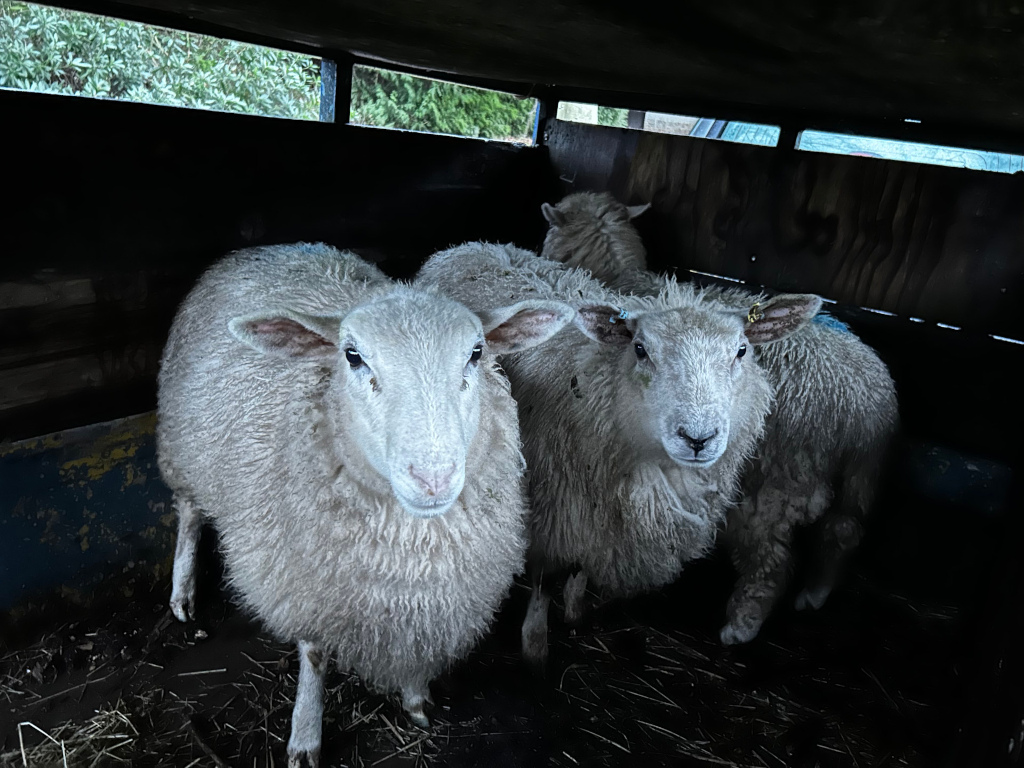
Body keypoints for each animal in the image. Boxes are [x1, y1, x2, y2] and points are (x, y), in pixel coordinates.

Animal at [156, 242, 575, 766]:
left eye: (477, 353)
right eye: (353, 356)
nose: (433, 478)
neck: (409, 551)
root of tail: (269, 247)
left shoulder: (429, 601)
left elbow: (418, 651)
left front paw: (415, 699)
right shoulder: (309, 585)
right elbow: (315, 656)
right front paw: (305, 736)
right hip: (182, 446)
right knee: (190, 514)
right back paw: (183, 593)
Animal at [416, 242, 821, 666]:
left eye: (742, 350)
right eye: (640, 349)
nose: (698, 438)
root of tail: (474, 245)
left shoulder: (602, 516)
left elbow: (582, 570)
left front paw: (575, 609)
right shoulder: (554, 506)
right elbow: (545, 579)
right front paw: (536, 645)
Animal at [547, 196, 900, 645]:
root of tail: (865, 407)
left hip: (775, 484)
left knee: (773, 561)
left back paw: (740, 626)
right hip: (860, 479)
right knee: (844, 530)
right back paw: (814, 595)